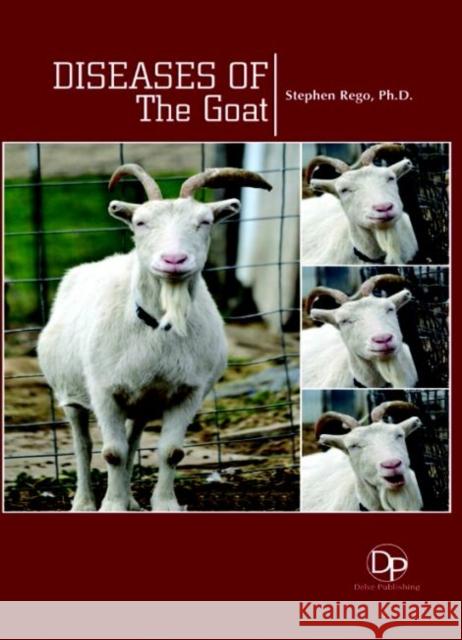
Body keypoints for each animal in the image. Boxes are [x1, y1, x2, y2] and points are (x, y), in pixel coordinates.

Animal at [37, 164, 272, 512]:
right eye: (140, 222)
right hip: (72, 393)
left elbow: (170, 452)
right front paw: (112, 506)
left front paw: (164, 504)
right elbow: (112, 453)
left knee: (133, 440)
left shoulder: (189, 392)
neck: (160, 324)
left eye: (204, 221)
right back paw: (84, 503)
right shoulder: (104, 391)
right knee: (84, 444)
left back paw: (132, 500)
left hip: (141, 402)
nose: (173, 260)